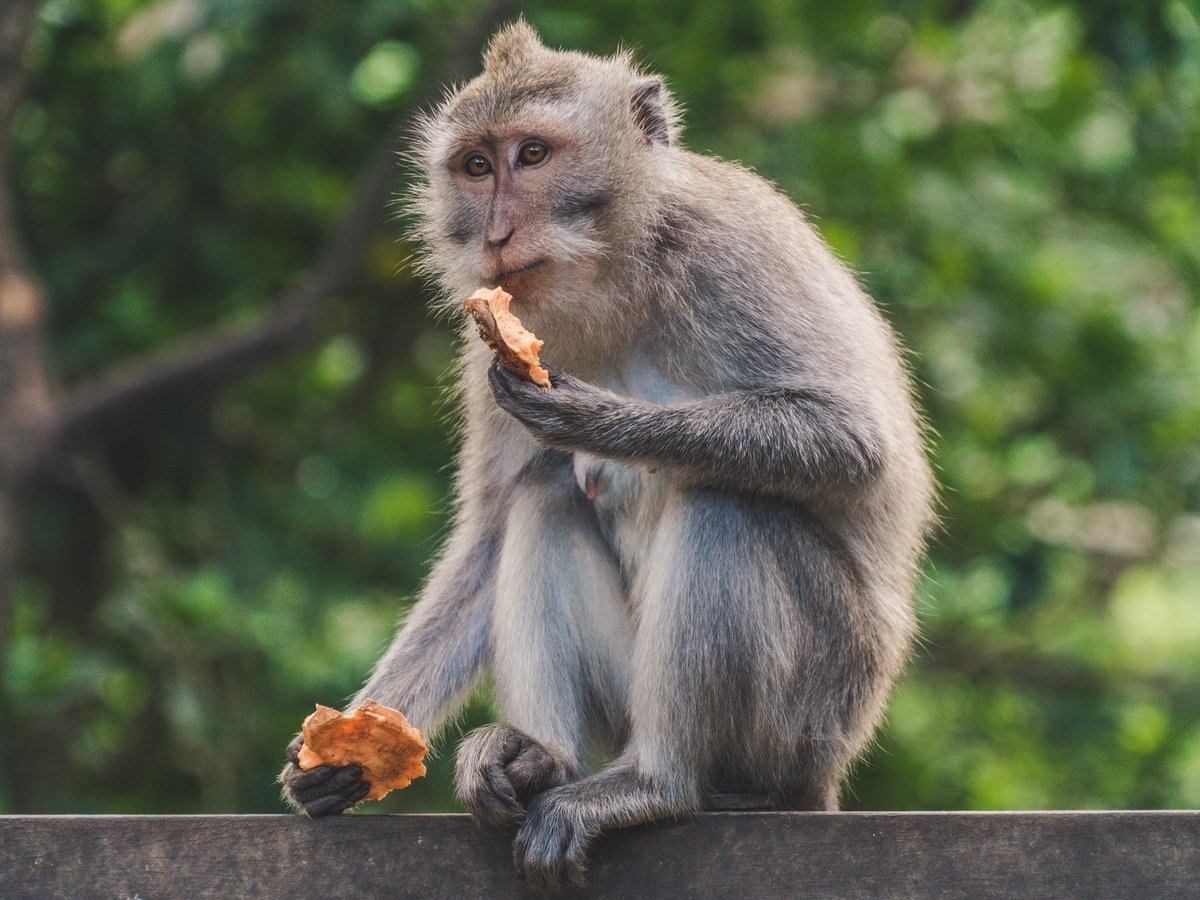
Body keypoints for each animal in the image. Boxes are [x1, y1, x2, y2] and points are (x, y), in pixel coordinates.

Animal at [278, 21, 936, 897]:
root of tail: (826, 772)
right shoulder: (486, 338)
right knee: (544, 497)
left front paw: (591, 418)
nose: (495, 233)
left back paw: (656, 784)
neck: (616, 270)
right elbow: (490, 535)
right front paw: (353, 745)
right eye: (476, 167)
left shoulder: (731, 249)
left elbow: (854, 441)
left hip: (812, 713)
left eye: (532, 155)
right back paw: (539, 759)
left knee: (724, 504)